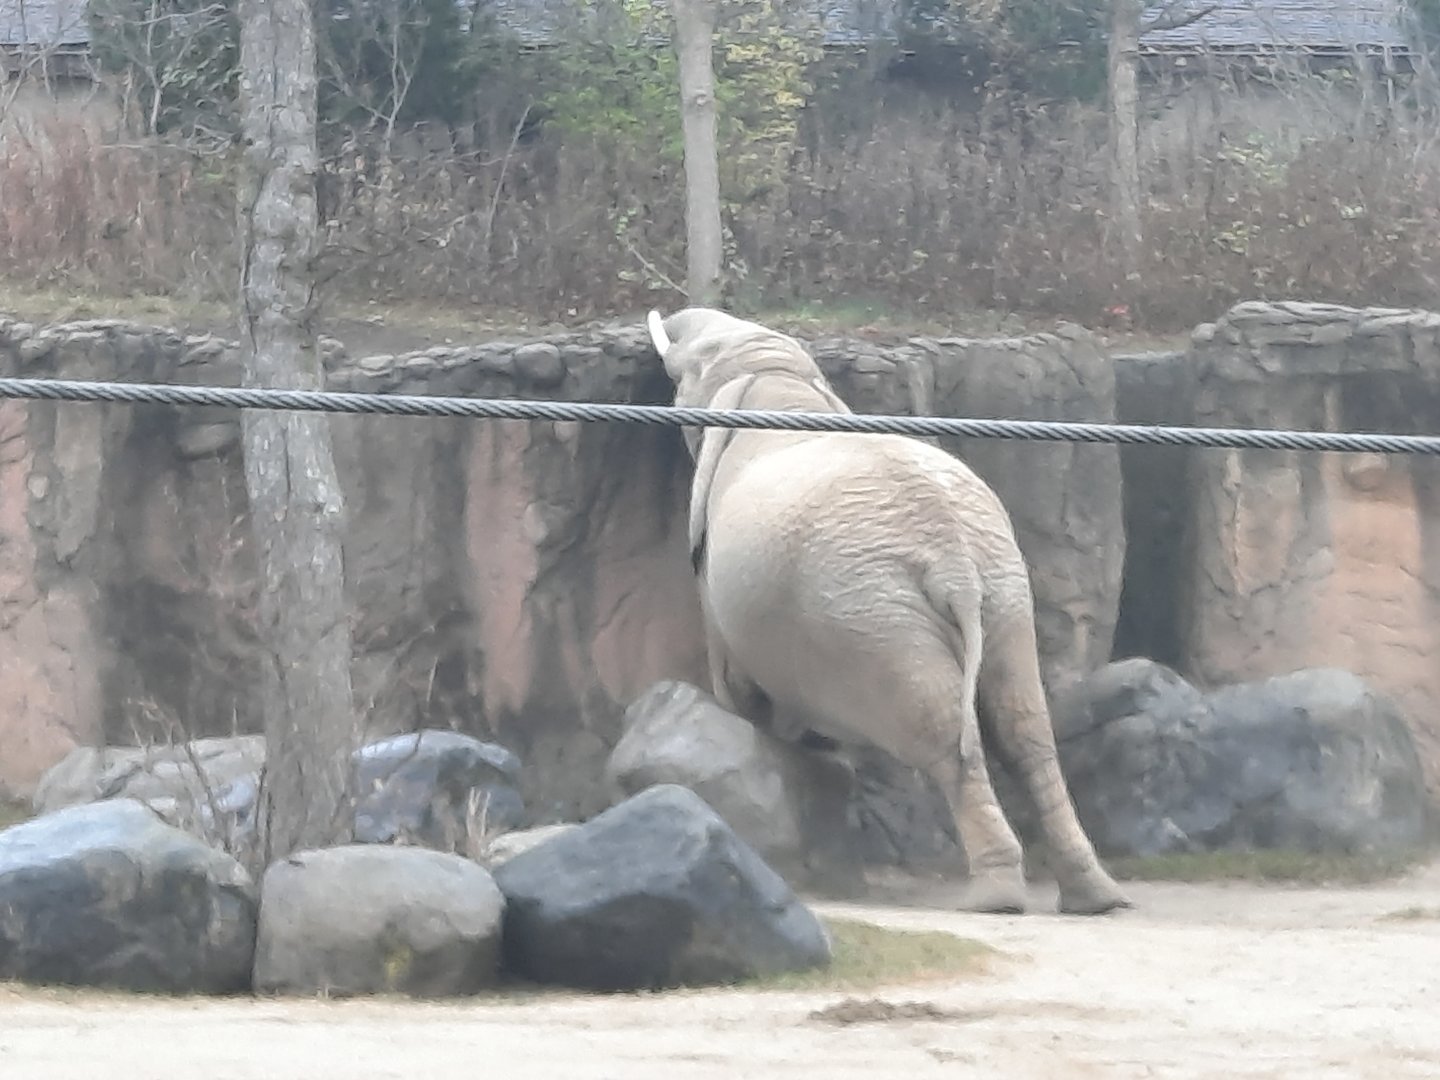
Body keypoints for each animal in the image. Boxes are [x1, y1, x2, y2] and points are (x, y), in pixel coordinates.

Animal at [645, 306, 1131, 916]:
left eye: (693, 365)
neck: (779, 383)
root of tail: (954, 560)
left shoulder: (714, 568)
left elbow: (734, 676)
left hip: (874, 612)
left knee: (942, 733)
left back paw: (993, 900)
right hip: (1002, 588)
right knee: (1025, 727)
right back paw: (1096, 898)